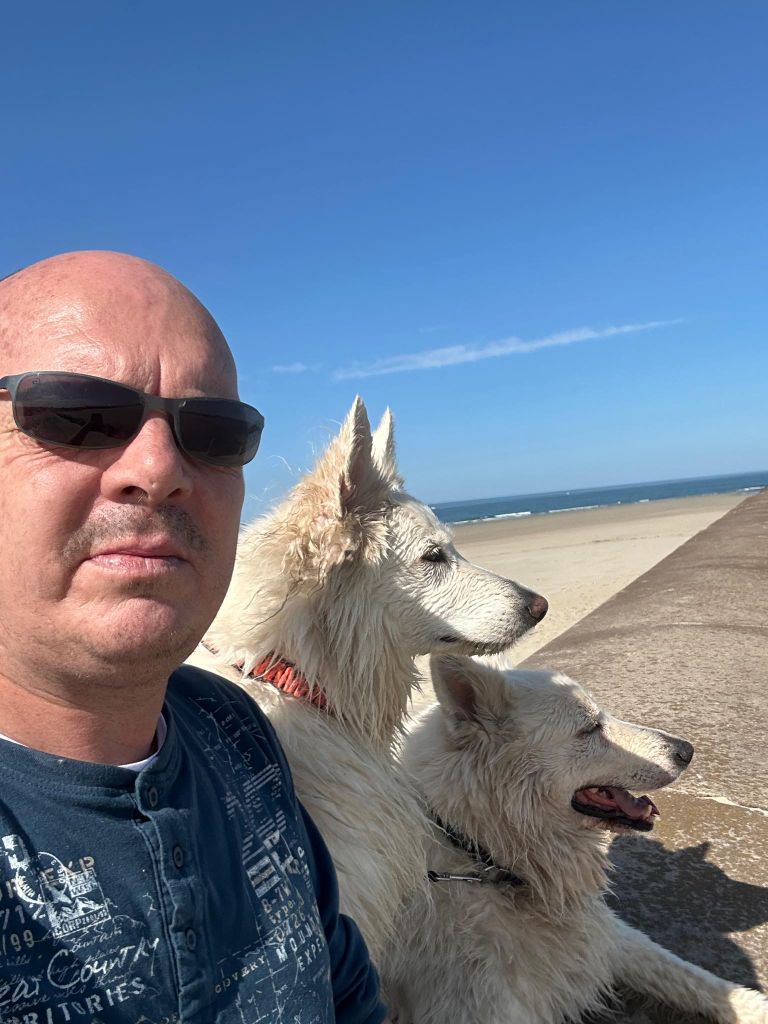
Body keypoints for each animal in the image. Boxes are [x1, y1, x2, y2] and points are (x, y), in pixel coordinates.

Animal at [384, 655, 768, 1023]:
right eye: (590, 728)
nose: (687, 750)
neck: (483, 856)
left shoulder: (603, 934)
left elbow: (686, 975)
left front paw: (752, 1006)